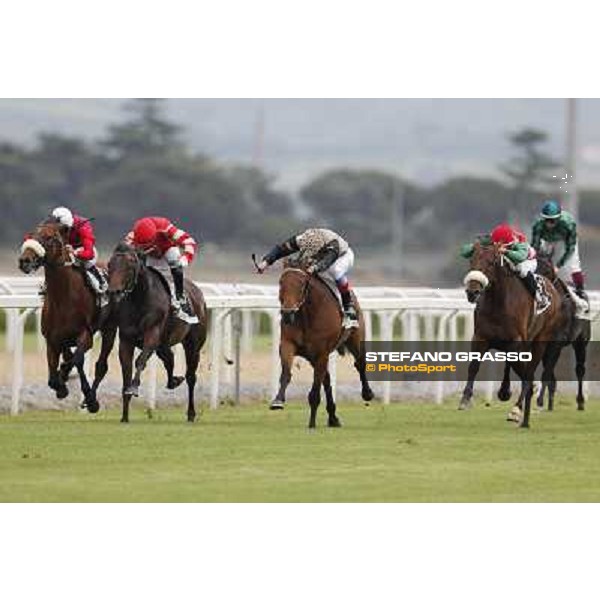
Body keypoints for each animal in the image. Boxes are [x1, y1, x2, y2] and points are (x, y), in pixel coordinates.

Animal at [18, 220, 115, 412]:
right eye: (30, 235)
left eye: (49, 237)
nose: (25, 260)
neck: (63, 298)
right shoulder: (51, 339)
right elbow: (53, 374)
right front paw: (60, 385)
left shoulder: (86, 335)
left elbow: (77, 360)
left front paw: (87, 397)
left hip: (109, 329)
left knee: (100, 365)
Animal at [108, 243, 209, 422]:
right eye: (109, 265)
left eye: (130, 265)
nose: (114, 292)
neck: (140, 299)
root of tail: (198, 293)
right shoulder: (126, 340)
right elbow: (126, 370)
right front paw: (124, 415)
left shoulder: (152, 335)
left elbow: (140, 361)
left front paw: (134, 387)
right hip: (164, 344)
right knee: (169, 358)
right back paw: (173, 381)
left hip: (193, 345)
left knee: (191, 376)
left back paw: (191, 413)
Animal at [272, 270, 376, 428]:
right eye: (281, 283)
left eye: (302, 285)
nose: (287, 314)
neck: (307, 316)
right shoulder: (287, 344)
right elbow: (285, 374)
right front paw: (278, 400)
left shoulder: (321, 352)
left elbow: (315, 391)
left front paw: (311, 423)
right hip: (313, 357)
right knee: (326, 379)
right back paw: (333, 417)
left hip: (355, 339)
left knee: (360, 363)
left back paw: (367, 393)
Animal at [460, 239, 564, 426]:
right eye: (471, 261)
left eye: (491, 263)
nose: (472, 292)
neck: (499, 302)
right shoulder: (480, 337)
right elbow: (474, 366)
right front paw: (465, 398)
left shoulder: (516, 342)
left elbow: (524, 372)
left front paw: (518, 405)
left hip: (541, 340)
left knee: (529, 368)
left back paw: (516, 408)